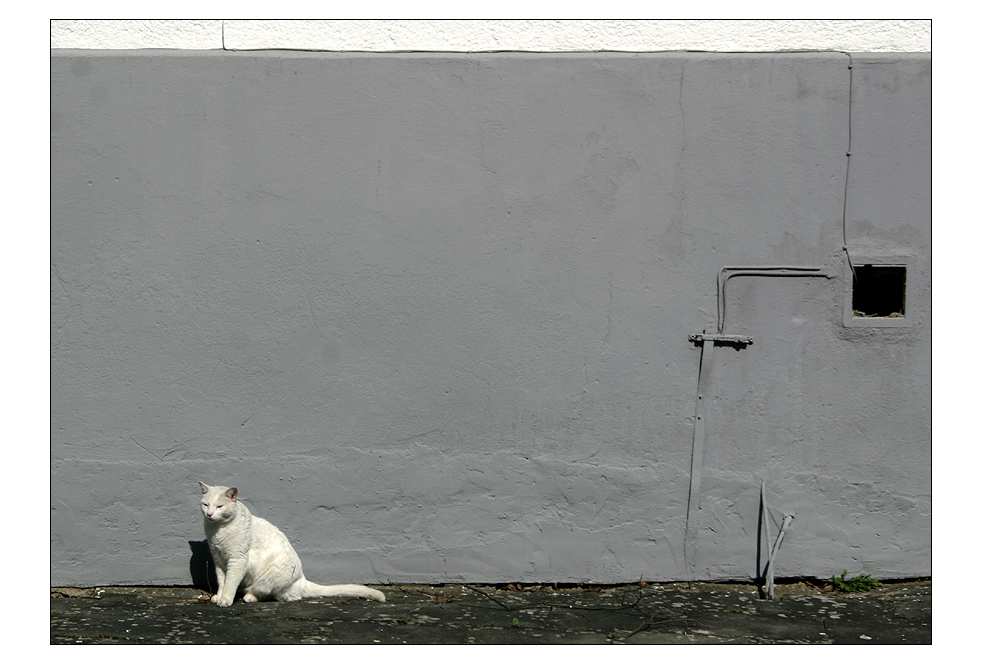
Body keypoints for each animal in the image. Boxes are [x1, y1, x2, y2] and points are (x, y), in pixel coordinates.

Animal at [198, 482, 386, 608]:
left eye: (219, 506)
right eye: (206, 504)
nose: (209, 514)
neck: (217, 530)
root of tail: (302, 579)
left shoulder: (237, 560)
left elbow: (230, 583)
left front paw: (226, 600)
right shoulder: (219, 561)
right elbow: (222, 582)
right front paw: (219, 596)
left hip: (272, 573)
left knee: (275, 594)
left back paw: (250, 597)